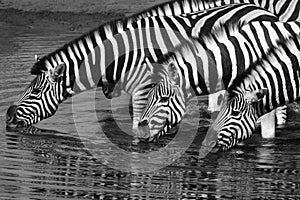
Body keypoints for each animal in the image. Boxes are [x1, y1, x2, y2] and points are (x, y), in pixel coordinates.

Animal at [5, 4, 278, 130]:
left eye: (35, 92)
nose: (7, 116)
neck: (119, 57)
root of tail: (261, 10)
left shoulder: (143, 89)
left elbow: (138, 124)